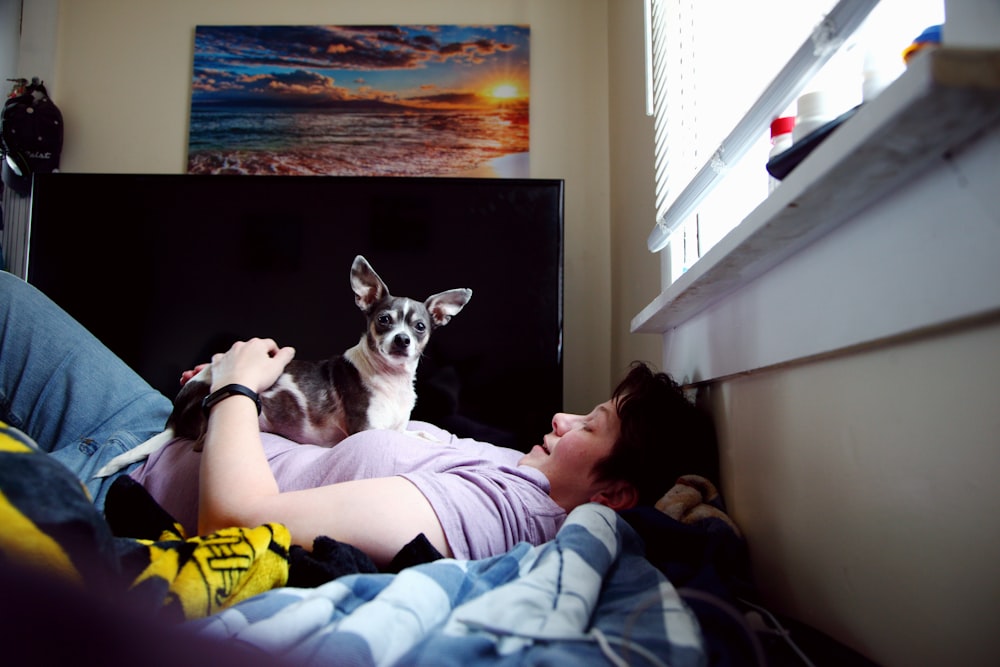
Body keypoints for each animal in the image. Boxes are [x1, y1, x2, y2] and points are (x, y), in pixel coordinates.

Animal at [94, 253, 468, 478]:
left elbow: (417, 433)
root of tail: (175, 416)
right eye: (384, 320)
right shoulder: (366, 431)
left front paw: (436, 440)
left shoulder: (396, 427)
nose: (402, 340)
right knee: (200, 444)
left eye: (419, 327)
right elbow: (411, 440)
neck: (390, 379)